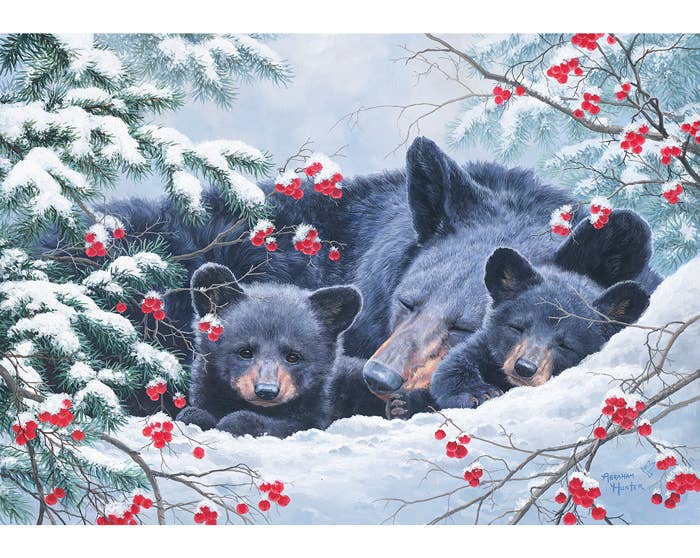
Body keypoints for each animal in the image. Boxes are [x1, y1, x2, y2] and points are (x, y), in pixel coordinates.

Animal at [176, 262, 363, 438]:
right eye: (245, 352)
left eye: (293, 356)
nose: (266, 391)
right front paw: (196, 416)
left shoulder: (316, 412)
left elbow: (291, 425)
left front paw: (236, 421)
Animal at [430, 246, 650, 410]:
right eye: (517, 327)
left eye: (566, 345)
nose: (524, 368)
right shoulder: (484, 346)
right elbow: (454, 364)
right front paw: (479, 392)